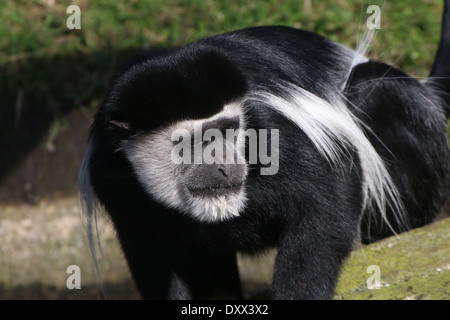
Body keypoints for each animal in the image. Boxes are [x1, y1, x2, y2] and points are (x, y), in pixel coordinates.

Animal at [80, 1, 450, 300]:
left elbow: (325, 201)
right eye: (190, 142)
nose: (225, 168)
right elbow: (154, 258)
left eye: (228, 130)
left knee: (375, 87)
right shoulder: (113, 178)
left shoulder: (274, 132)